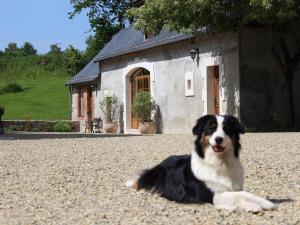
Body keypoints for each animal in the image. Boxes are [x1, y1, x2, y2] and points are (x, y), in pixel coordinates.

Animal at [125, 115, 276, 212]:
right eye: (210, 128)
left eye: (227, 129)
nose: (218, 139)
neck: (220, 162)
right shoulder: (214, 196)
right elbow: (240, 195)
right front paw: (253, 205)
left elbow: (244, 193)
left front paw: (265, 202)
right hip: (158, 172)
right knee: (140, 182)